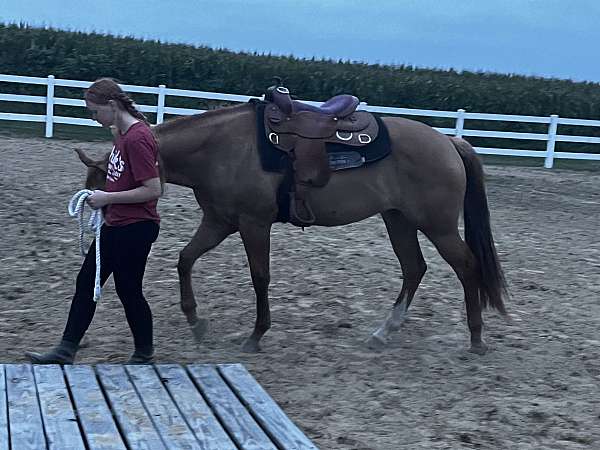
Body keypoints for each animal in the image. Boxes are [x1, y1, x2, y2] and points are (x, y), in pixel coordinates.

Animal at [74, 101, 506, 356]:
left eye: (107, 187)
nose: (101, 235)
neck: (220, 148)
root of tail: (449, 142)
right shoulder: (219, 222)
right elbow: (184, 259)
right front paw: (196, 323)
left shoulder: (253, 223)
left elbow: (260, 277)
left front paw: (256, 335)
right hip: (397, 220)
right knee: (415, 268)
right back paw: (384, 332)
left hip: (438, 226)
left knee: (467, 266)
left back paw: (476, 338)